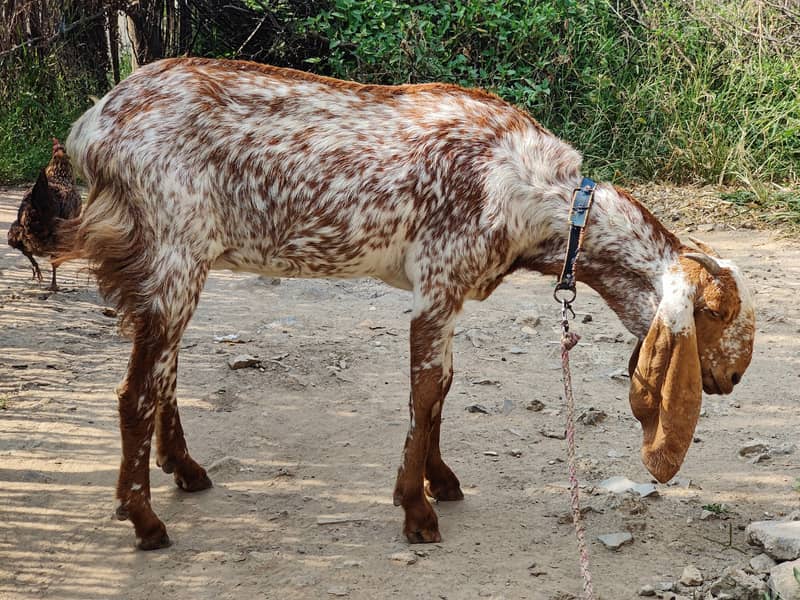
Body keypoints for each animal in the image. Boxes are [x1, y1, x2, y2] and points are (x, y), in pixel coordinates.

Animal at [56, 58, 756, 552]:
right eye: (717, 314)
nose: (732, 377)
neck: (537, 194)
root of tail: (92, 127)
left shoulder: (450, 293)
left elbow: (443, 387)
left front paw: (439, 483)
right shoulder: (438, 282)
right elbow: (424, 389)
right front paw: (416, 512)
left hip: (177, 261)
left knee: (164, 373)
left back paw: (186, 469)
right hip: (173, 249)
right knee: (136, 390)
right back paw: (145, 520)